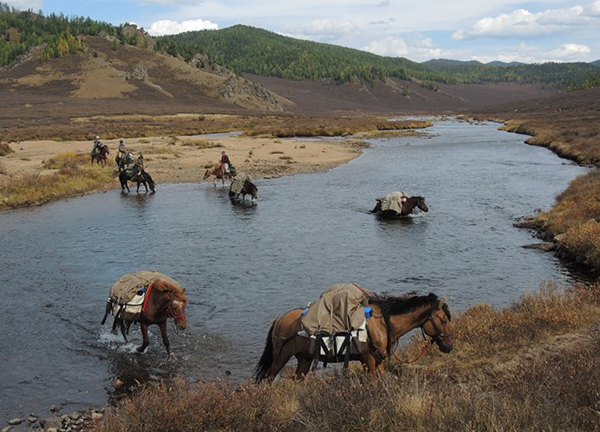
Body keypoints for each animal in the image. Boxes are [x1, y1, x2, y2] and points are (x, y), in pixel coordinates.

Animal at [251, 290, 452, 382]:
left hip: (304, 360)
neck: (381, 323)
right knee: (268, 379)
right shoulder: (369, 360)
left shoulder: (377, 362)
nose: (449, 347)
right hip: (281, 358)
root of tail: (279, 319)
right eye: (443, 320)